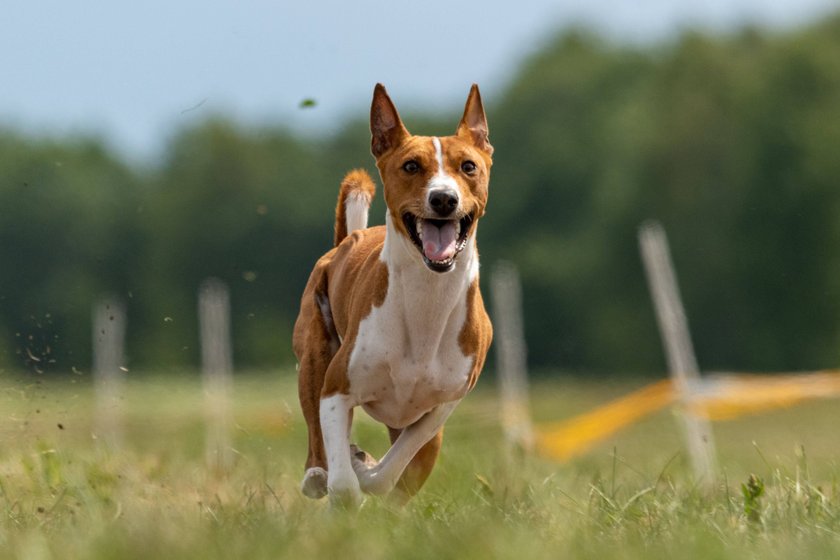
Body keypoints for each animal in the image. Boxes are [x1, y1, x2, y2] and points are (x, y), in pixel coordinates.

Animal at [294, 83, 492, 508]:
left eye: (468, 166)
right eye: (411, 166)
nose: (443, 199)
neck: (426, 300)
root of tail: (349, 238)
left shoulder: (440, 407)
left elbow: (394, 468)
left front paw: (367, 469)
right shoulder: (336, 389)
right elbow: (343, 481)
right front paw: (349, 474)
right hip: (315, 353)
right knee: (316, 441)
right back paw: (318, 474)